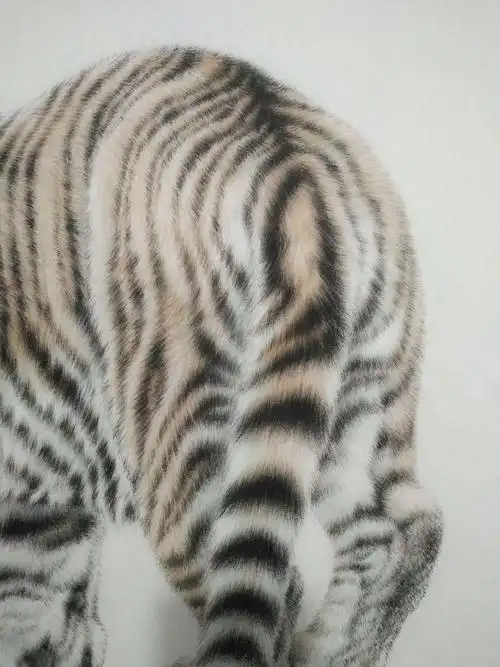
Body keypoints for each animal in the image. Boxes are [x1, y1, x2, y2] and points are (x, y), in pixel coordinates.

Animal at [0, 46, 443, 667]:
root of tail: (292, 166)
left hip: (181, 446)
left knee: (268, 590)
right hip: (366, 407)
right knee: (399, 530)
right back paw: (333, 650)